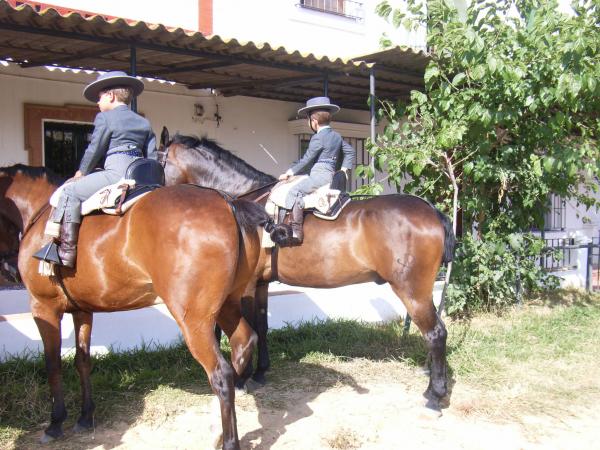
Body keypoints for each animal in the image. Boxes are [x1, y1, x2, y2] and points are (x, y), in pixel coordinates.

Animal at [0, 163, 276, 448]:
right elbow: (82, 360)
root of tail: (228, 202)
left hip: (195, 321)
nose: (9, 270)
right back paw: (217, 429)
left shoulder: (43, 308)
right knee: (243, 343)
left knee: (221, 374)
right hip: (227, 305)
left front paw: (55, 422)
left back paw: (229, 439)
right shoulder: (82, 310)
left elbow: (53, 364)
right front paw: (85, 416)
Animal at [159, 132, 454, 410]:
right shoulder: (261, 283)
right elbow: (262, 326)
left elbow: (247, 329)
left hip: (412, 291)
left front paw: (243, 378)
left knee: (436, 334)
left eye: (158, 159)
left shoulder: (246, 286)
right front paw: (261, 372)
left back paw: (435, 395)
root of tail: (431, 211)